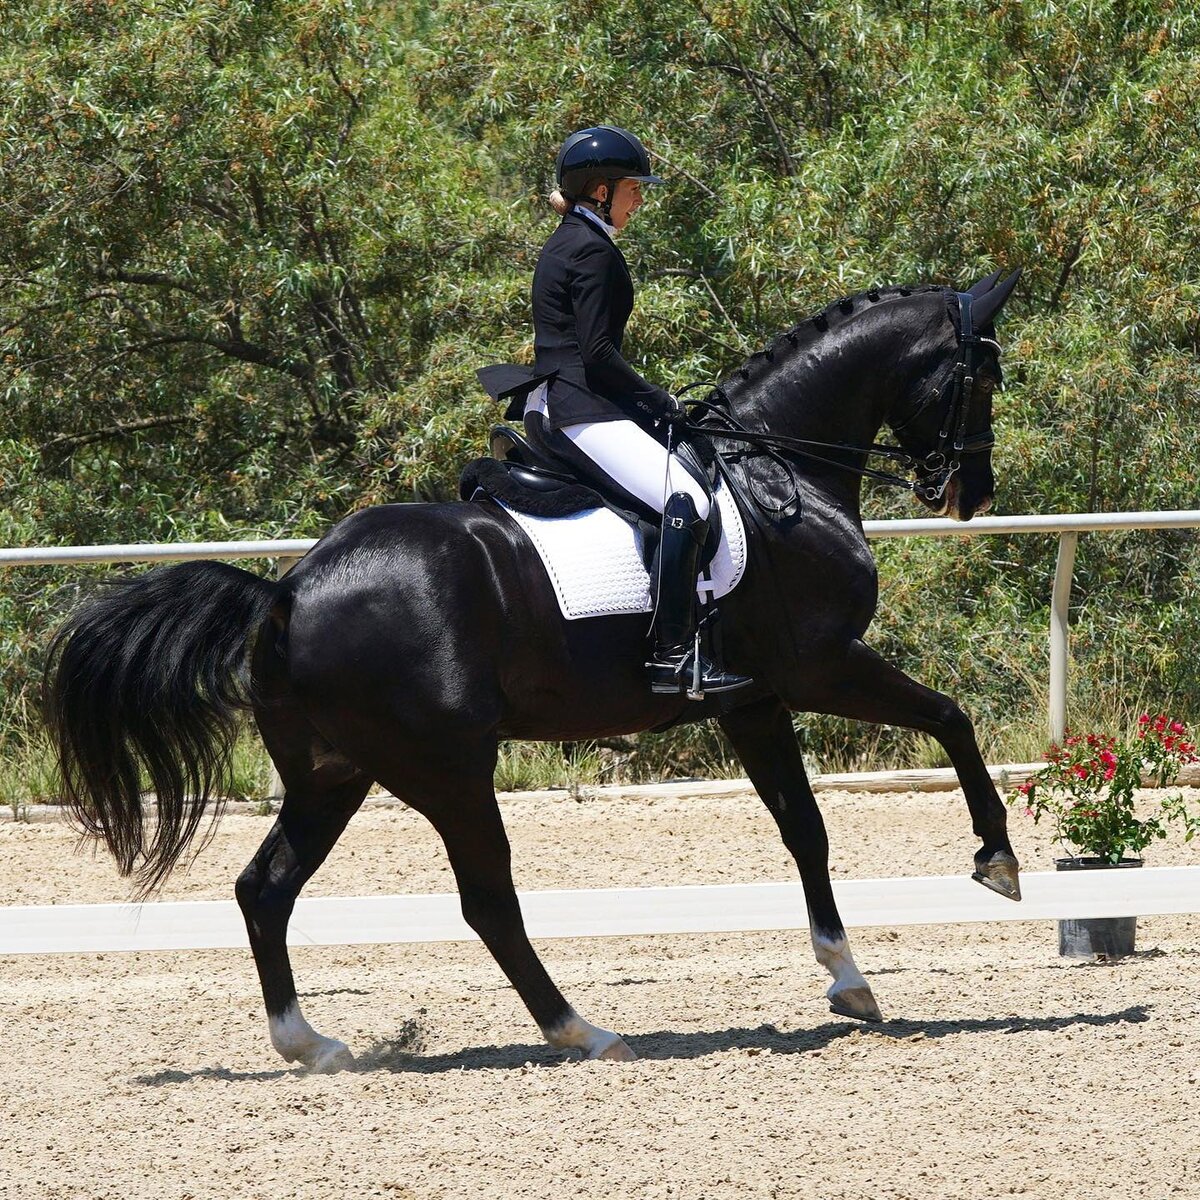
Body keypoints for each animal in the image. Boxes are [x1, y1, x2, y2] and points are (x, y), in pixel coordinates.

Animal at [46, 270, 1022, 1070]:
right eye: (982, 379)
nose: (969, 495)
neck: (782, 472)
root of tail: (290, 587)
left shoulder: (755, 701)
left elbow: (805, 829)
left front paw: (848, 979)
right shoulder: (821, 667)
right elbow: (951, 718)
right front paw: (997, 860)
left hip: (335, 773)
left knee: (265, 888)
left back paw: (312, 1045)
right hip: (447, 771)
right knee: (486, 902)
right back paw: (583, 1031)